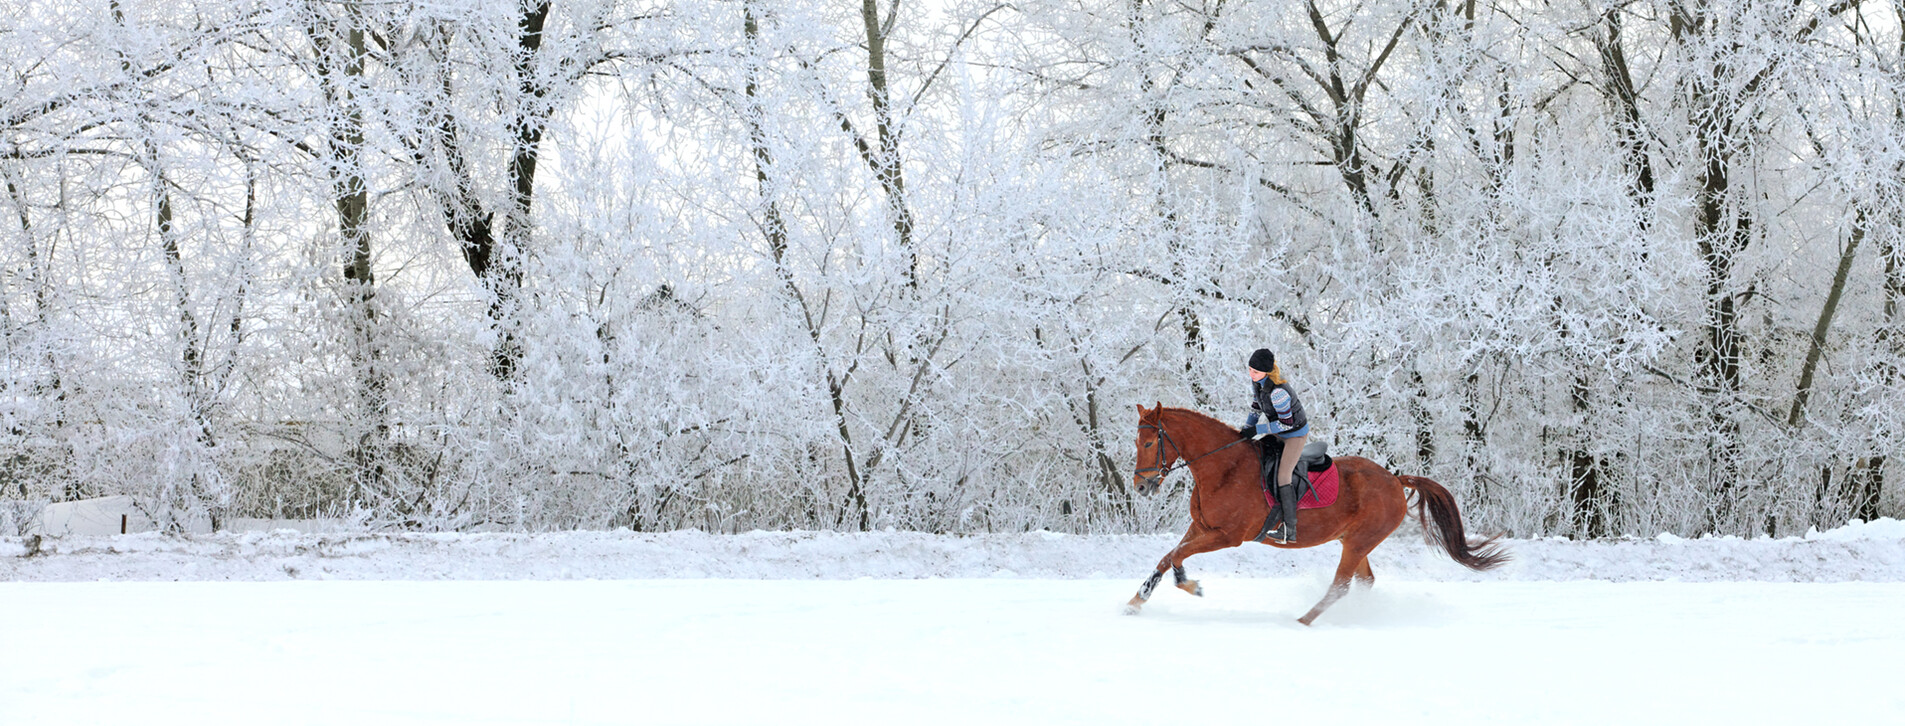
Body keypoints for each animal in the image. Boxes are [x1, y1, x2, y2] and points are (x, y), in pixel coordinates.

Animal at [1127, 402, 1501, 621]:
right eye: (1136, 442)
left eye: (1149, 443)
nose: (1141, 487)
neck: (1223, 467)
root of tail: (1395, 479)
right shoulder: (1201, 528)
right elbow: (1169, 555)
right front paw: (1136, 601)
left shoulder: (1227, 536)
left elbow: (1179, 556)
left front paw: (1191, 586)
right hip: (1355, 541)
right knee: (1363, 581)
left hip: (1359, 542)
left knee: (1340, 585)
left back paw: (1302, 621)